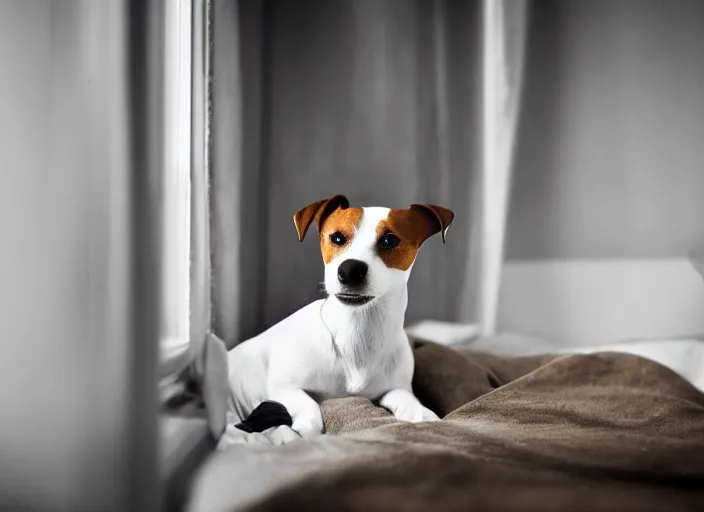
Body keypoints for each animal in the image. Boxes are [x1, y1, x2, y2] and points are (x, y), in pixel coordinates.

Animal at [217, 194, 454, 446]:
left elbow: (409, 401)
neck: (357, 333)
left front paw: (423, 415)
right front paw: (295, 431)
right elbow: (310, 412)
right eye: (337, 237)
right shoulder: (283, 388)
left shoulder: (395, 389)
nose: (349, 269)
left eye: (390, 240)